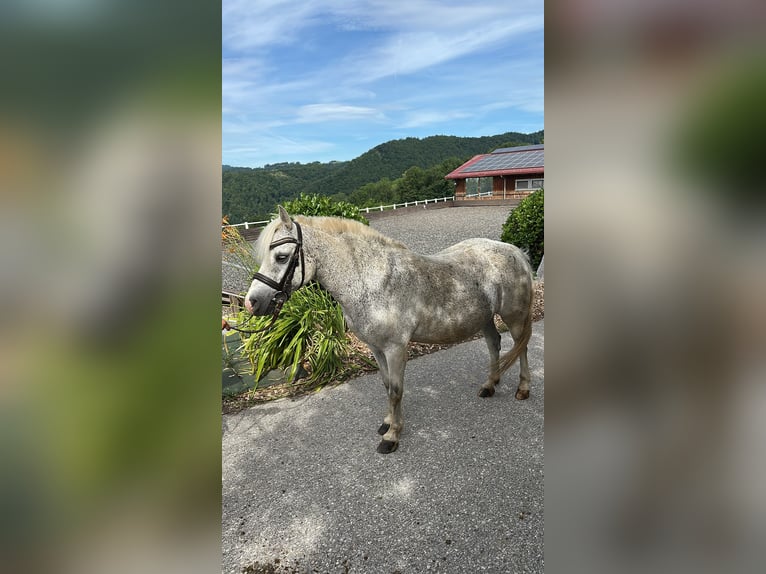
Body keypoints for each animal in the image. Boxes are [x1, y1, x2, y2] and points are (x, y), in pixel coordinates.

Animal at [245, 206, 534, 454]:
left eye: (281, 257)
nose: (252, 302)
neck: (372, 280)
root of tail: (516, 251)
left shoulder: (395, 349)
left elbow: (396, 390)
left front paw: (392, 436)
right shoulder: (376, 348)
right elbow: (386, 385)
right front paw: (387, 422)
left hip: (514, 317)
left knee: (521, 347)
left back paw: (523, 389)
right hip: (485, 318)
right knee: (494, 343)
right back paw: (490, 384)